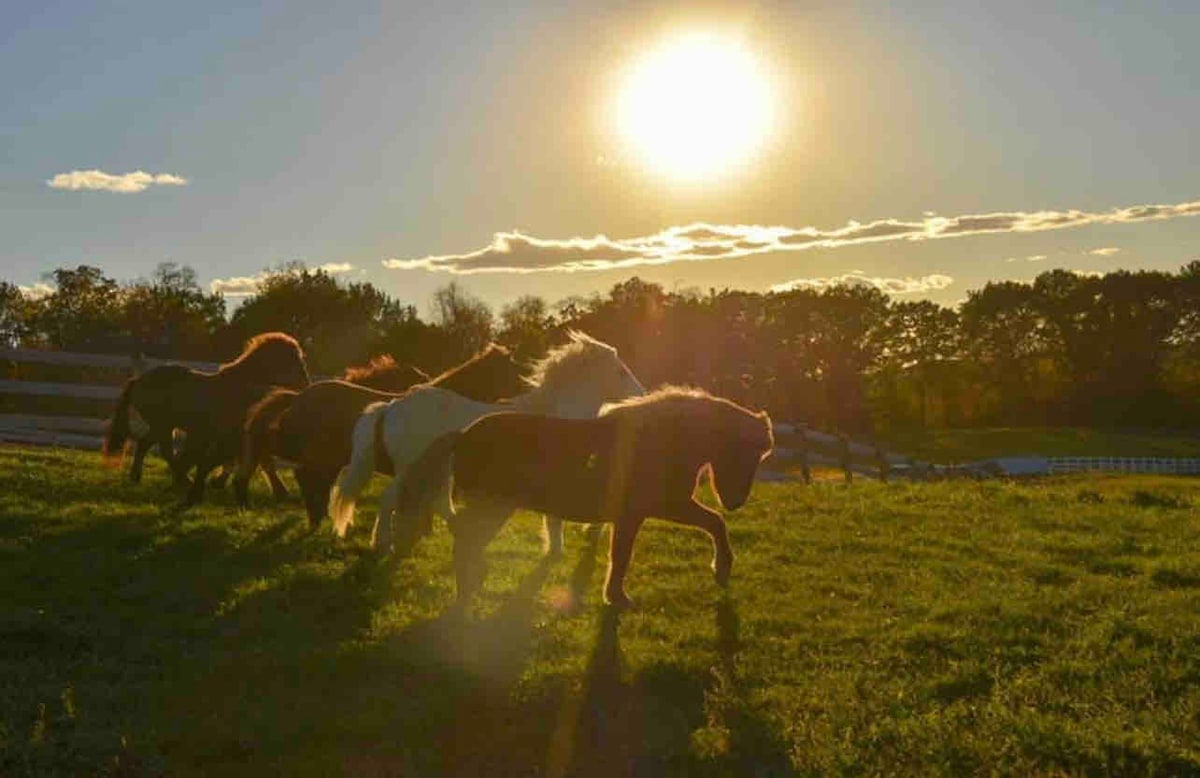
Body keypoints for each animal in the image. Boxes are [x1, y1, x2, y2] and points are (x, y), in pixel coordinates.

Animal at [103, 331, 309, 489]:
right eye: (293, 360)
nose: (305, 384)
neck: (242, 384)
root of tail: (137, 380)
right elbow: (259, 460)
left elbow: (242, 460)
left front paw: (219, 481)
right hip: (162, 424)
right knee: (157, 447)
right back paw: (178, 479)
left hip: (165, 425)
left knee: (147, 445)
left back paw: (152, 477)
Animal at [328, 331, 648, 557]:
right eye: (620, 370)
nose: (642, 393)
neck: (559, 415)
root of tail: (393, 405)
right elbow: (555, 520)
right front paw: (556, 551)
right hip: (411, 468)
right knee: (390, 500)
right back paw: (383, 544)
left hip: (435, 469)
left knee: (437, 503)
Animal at [400, 386, 777, 609]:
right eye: (747, 455)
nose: (736, 502)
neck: (660, 440)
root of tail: (463, 435)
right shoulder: (655, 509)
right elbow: (711, 524)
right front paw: (721, 568)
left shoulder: (642, 513)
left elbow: (627, 552)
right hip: (491, 507)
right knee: (465, 540)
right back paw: (467, 592)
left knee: (465, 539)